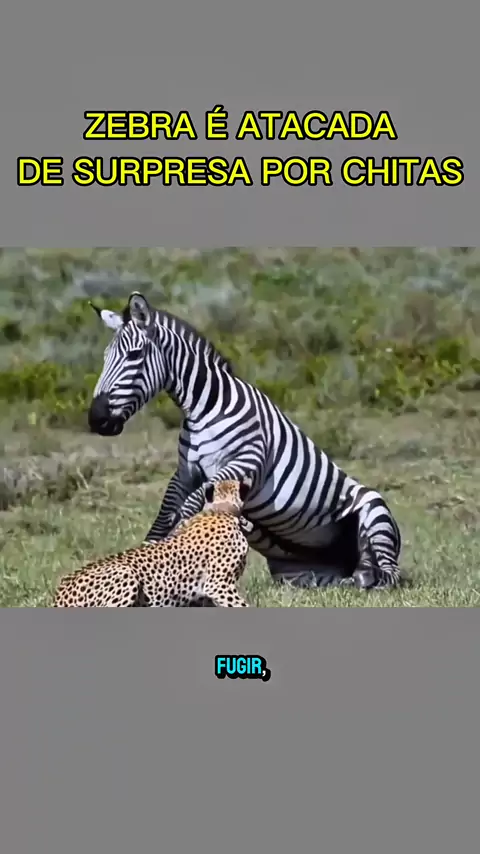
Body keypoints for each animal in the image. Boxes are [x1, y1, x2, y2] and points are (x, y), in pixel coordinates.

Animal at [87, 291, 403, 590]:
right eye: (104, 358)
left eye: (134, 355)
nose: (96, 419)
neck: (204, 408)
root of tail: (349, 562)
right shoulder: (185, 472)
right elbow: (165, 513)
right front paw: (146, 554)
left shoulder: (245, 462)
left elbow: (189, 504)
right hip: (297, 573)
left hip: (375, 511)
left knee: (389, 575)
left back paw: (372, 578)